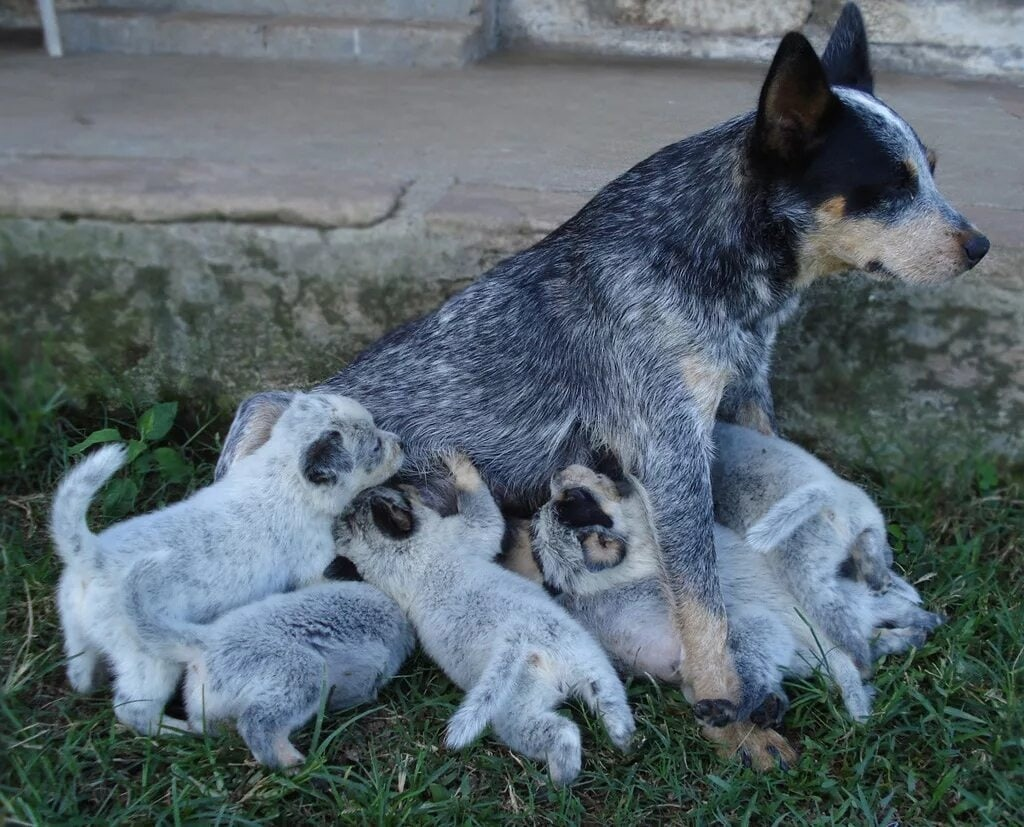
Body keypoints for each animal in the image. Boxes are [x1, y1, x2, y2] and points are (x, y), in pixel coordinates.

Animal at [49, 393, 399, 736]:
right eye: (375, 448)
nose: (400, 443)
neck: (282, 476)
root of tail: (92, 557)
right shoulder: (315, 564)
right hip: (149, 661)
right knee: (133, 710)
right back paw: (180, 730)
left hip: (77, 633)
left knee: (80, 673)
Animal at [339, 458, 634, 790]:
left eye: (384, 495)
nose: (357, 496)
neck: (406, 555)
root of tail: (526, 643)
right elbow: (485, 518)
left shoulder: (456, 534)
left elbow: (484, 517)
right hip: (561, 680)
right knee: (587, 716)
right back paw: (596, 756)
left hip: (552, 686)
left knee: (583, 720)